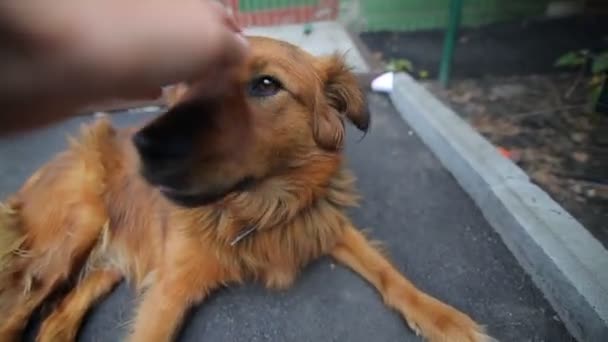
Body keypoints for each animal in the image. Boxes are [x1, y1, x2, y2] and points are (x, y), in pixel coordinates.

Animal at [0, 36, 486, 340]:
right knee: (20, 307)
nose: (144, 148)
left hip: (112, 259)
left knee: (57, 313)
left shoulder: (323, 222)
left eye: (266, 85)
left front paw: (446, 320)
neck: (257, 210)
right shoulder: (168, 290)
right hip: (74, 231)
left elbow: (390, 273)